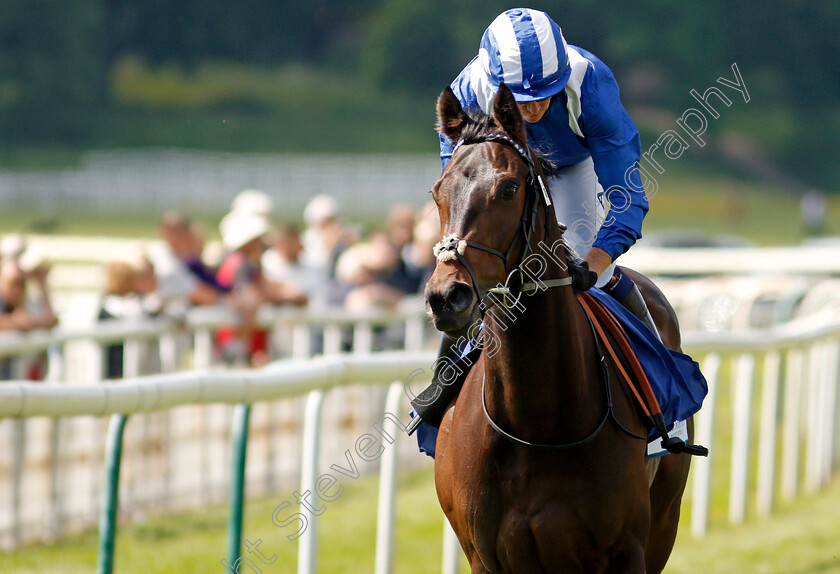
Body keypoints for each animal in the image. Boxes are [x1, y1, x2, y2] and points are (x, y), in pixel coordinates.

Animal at [424, 83, 692, 572]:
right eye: (438, 191)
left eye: (509, 188)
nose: (446, 296)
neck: (536, 424)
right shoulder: (484, 556)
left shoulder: (627, 549)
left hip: (665, 520)